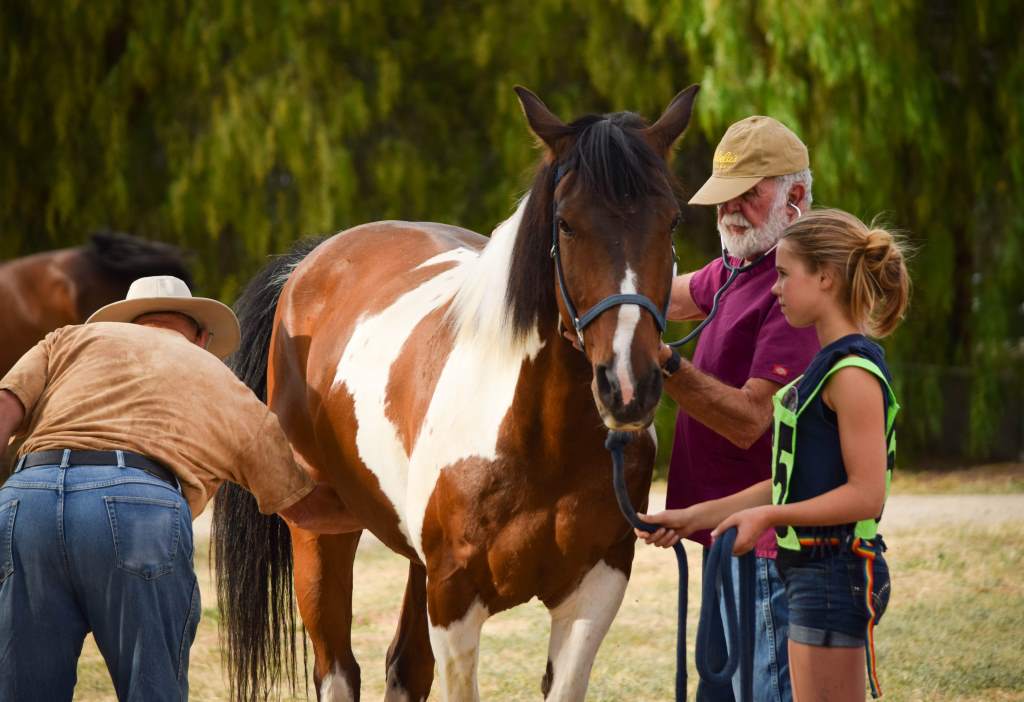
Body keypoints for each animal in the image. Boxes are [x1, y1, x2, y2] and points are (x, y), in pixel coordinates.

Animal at [213, 84, 700, 702]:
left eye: (672, 222)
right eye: (565, 224)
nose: (628, 385)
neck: (540, 442)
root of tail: (313, 261)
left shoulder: (595, 589)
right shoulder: (454, 599)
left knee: (405, 668)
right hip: (320, 537)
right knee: (338, 670)